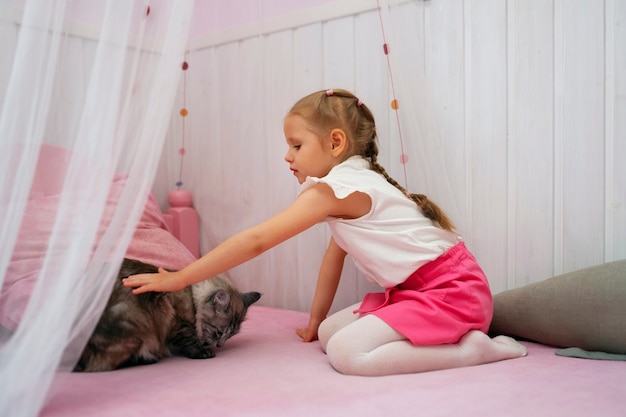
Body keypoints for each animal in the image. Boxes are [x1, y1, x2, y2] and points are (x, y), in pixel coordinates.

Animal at [74, 256, 260, 370]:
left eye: (229, 336)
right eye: (219, 332)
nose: (220, 345)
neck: (191, 295)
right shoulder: (176, 321)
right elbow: (190, 339)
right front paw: (203, 352)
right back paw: (147, 359)